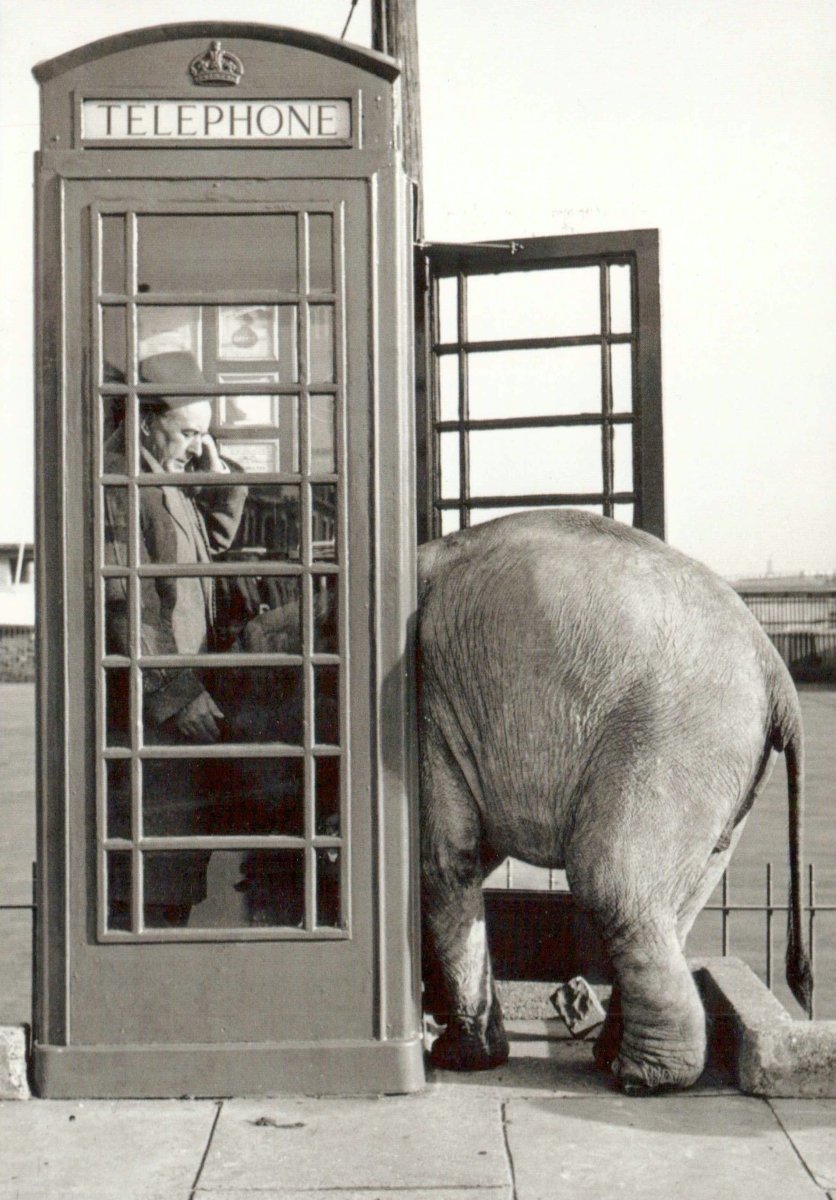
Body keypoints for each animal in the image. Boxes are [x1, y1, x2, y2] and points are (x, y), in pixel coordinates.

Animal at [417, 509, 812, 1093]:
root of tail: (776, 666)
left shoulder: (421, 714)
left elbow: (447, 862)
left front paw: (458, 1059)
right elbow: (467, 863)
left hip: (676, 741)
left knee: (611, 881)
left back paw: (640, 1078)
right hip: (728, 771)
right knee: (674, 904)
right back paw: (616, 1057)